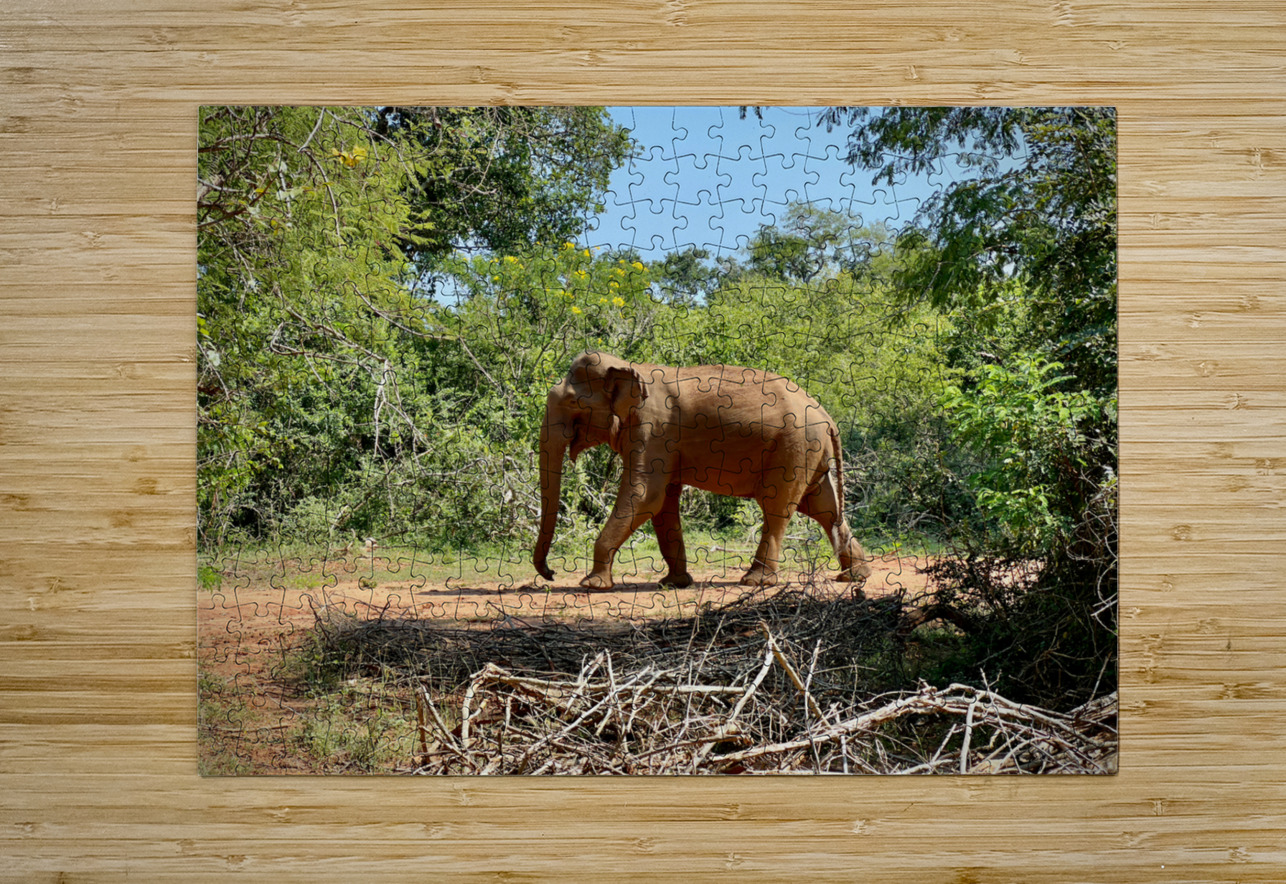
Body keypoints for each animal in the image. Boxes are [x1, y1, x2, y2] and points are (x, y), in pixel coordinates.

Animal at [532, 351, 872, 592]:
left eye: (572, 402)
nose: (551, 574)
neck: (630, 366)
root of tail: (827, 416)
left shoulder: (653, 428)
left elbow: (644, 496)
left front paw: (592, 585)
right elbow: (663, 504)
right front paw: (674, 583)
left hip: (793, 448)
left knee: (778, 507)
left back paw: (756, 581)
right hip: (809, 453)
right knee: (823, 507)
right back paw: (855, 575)